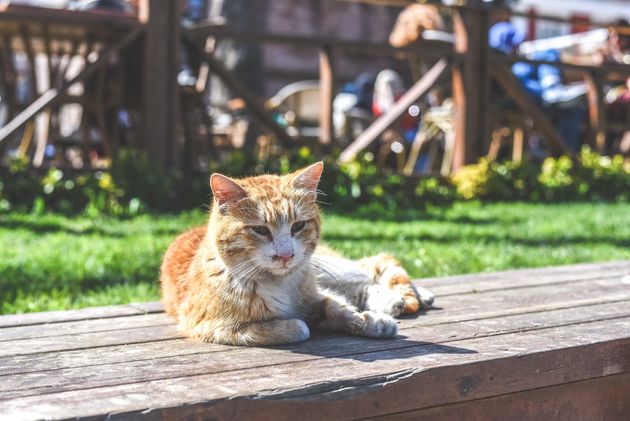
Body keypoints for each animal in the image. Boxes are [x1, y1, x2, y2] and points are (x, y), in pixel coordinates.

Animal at [159, 162, 434, 344]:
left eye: (298, 226)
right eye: (260, 229)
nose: (285, 255)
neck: (278, 283)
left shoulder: (316, 291)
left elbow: (338, 307)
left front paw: (371, 321)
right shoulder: (213, 327)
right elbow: (300, 326)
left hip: (329, 268)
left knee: (368, 269)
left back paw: (414, 296)